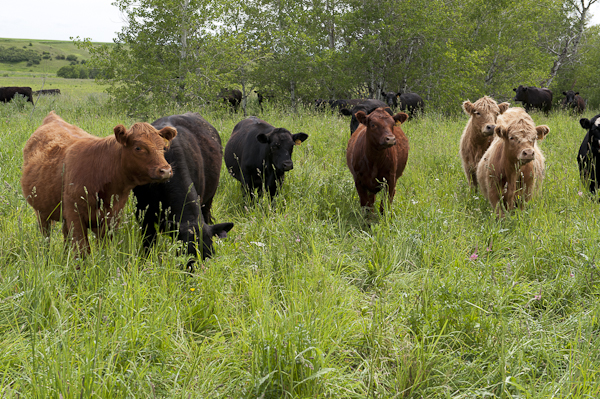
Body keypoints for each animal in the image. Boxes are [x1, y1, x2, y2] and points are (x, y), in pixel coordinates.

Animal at [21, 111, 176, 255]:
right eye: (138, 148)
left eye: (163, 147)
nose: (165, 170)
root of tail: (53, 117)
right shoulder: (75, 216)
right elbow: (82, 251)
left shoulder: (112, 217)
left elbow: (103, 248)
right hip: (41, 212)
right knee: (46, 237)